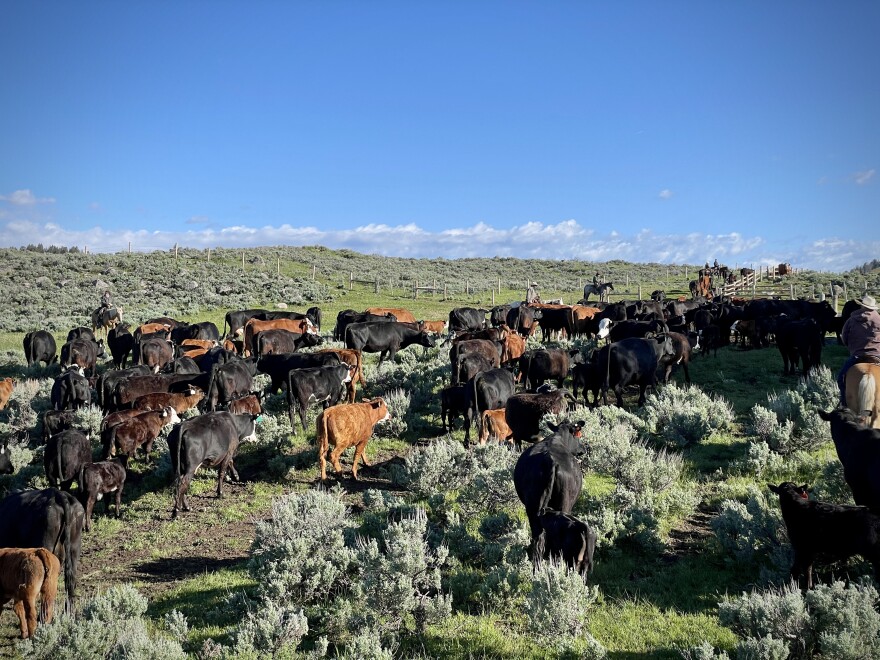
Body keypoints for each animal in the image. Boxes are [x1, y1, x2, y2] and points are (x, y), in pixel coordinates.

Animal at [513, 421, 586, 555]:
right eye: (578, 435)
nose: (582, 449)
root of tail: (550, 460)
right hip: (564, 505)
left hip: (532, 508)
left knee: (537, 539)